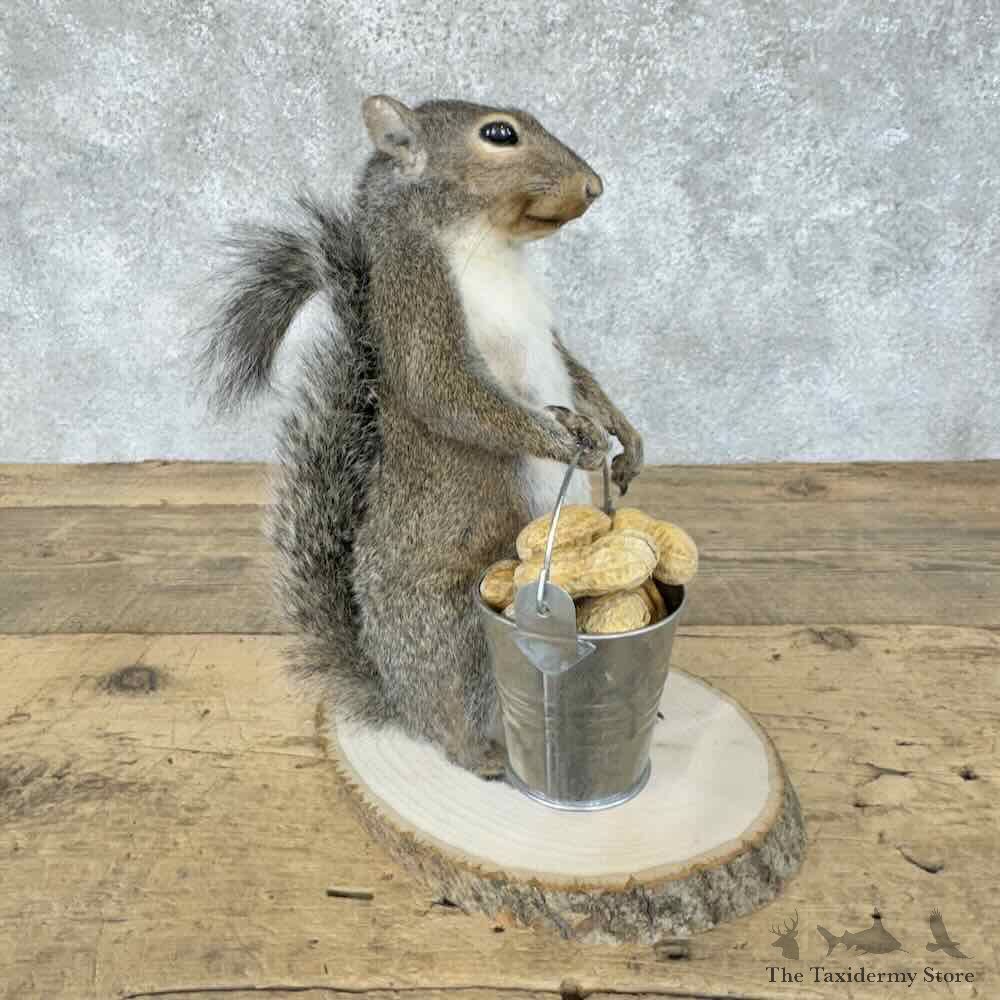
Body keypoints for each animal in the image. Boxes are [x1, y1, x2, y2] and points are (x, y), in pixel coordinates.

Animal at [197, 95, 644, 773]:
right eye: (499, 134)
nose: (594, 187)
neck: (494, 250)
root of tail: (398, 698)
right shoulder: (420, 307)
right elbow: (450, 394)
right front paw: (566, 441)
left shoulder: (547, 332)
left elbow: (578, 374)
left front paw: (624, 434)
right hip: (459, 625)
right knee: (454, 720)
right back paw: (482, 758)